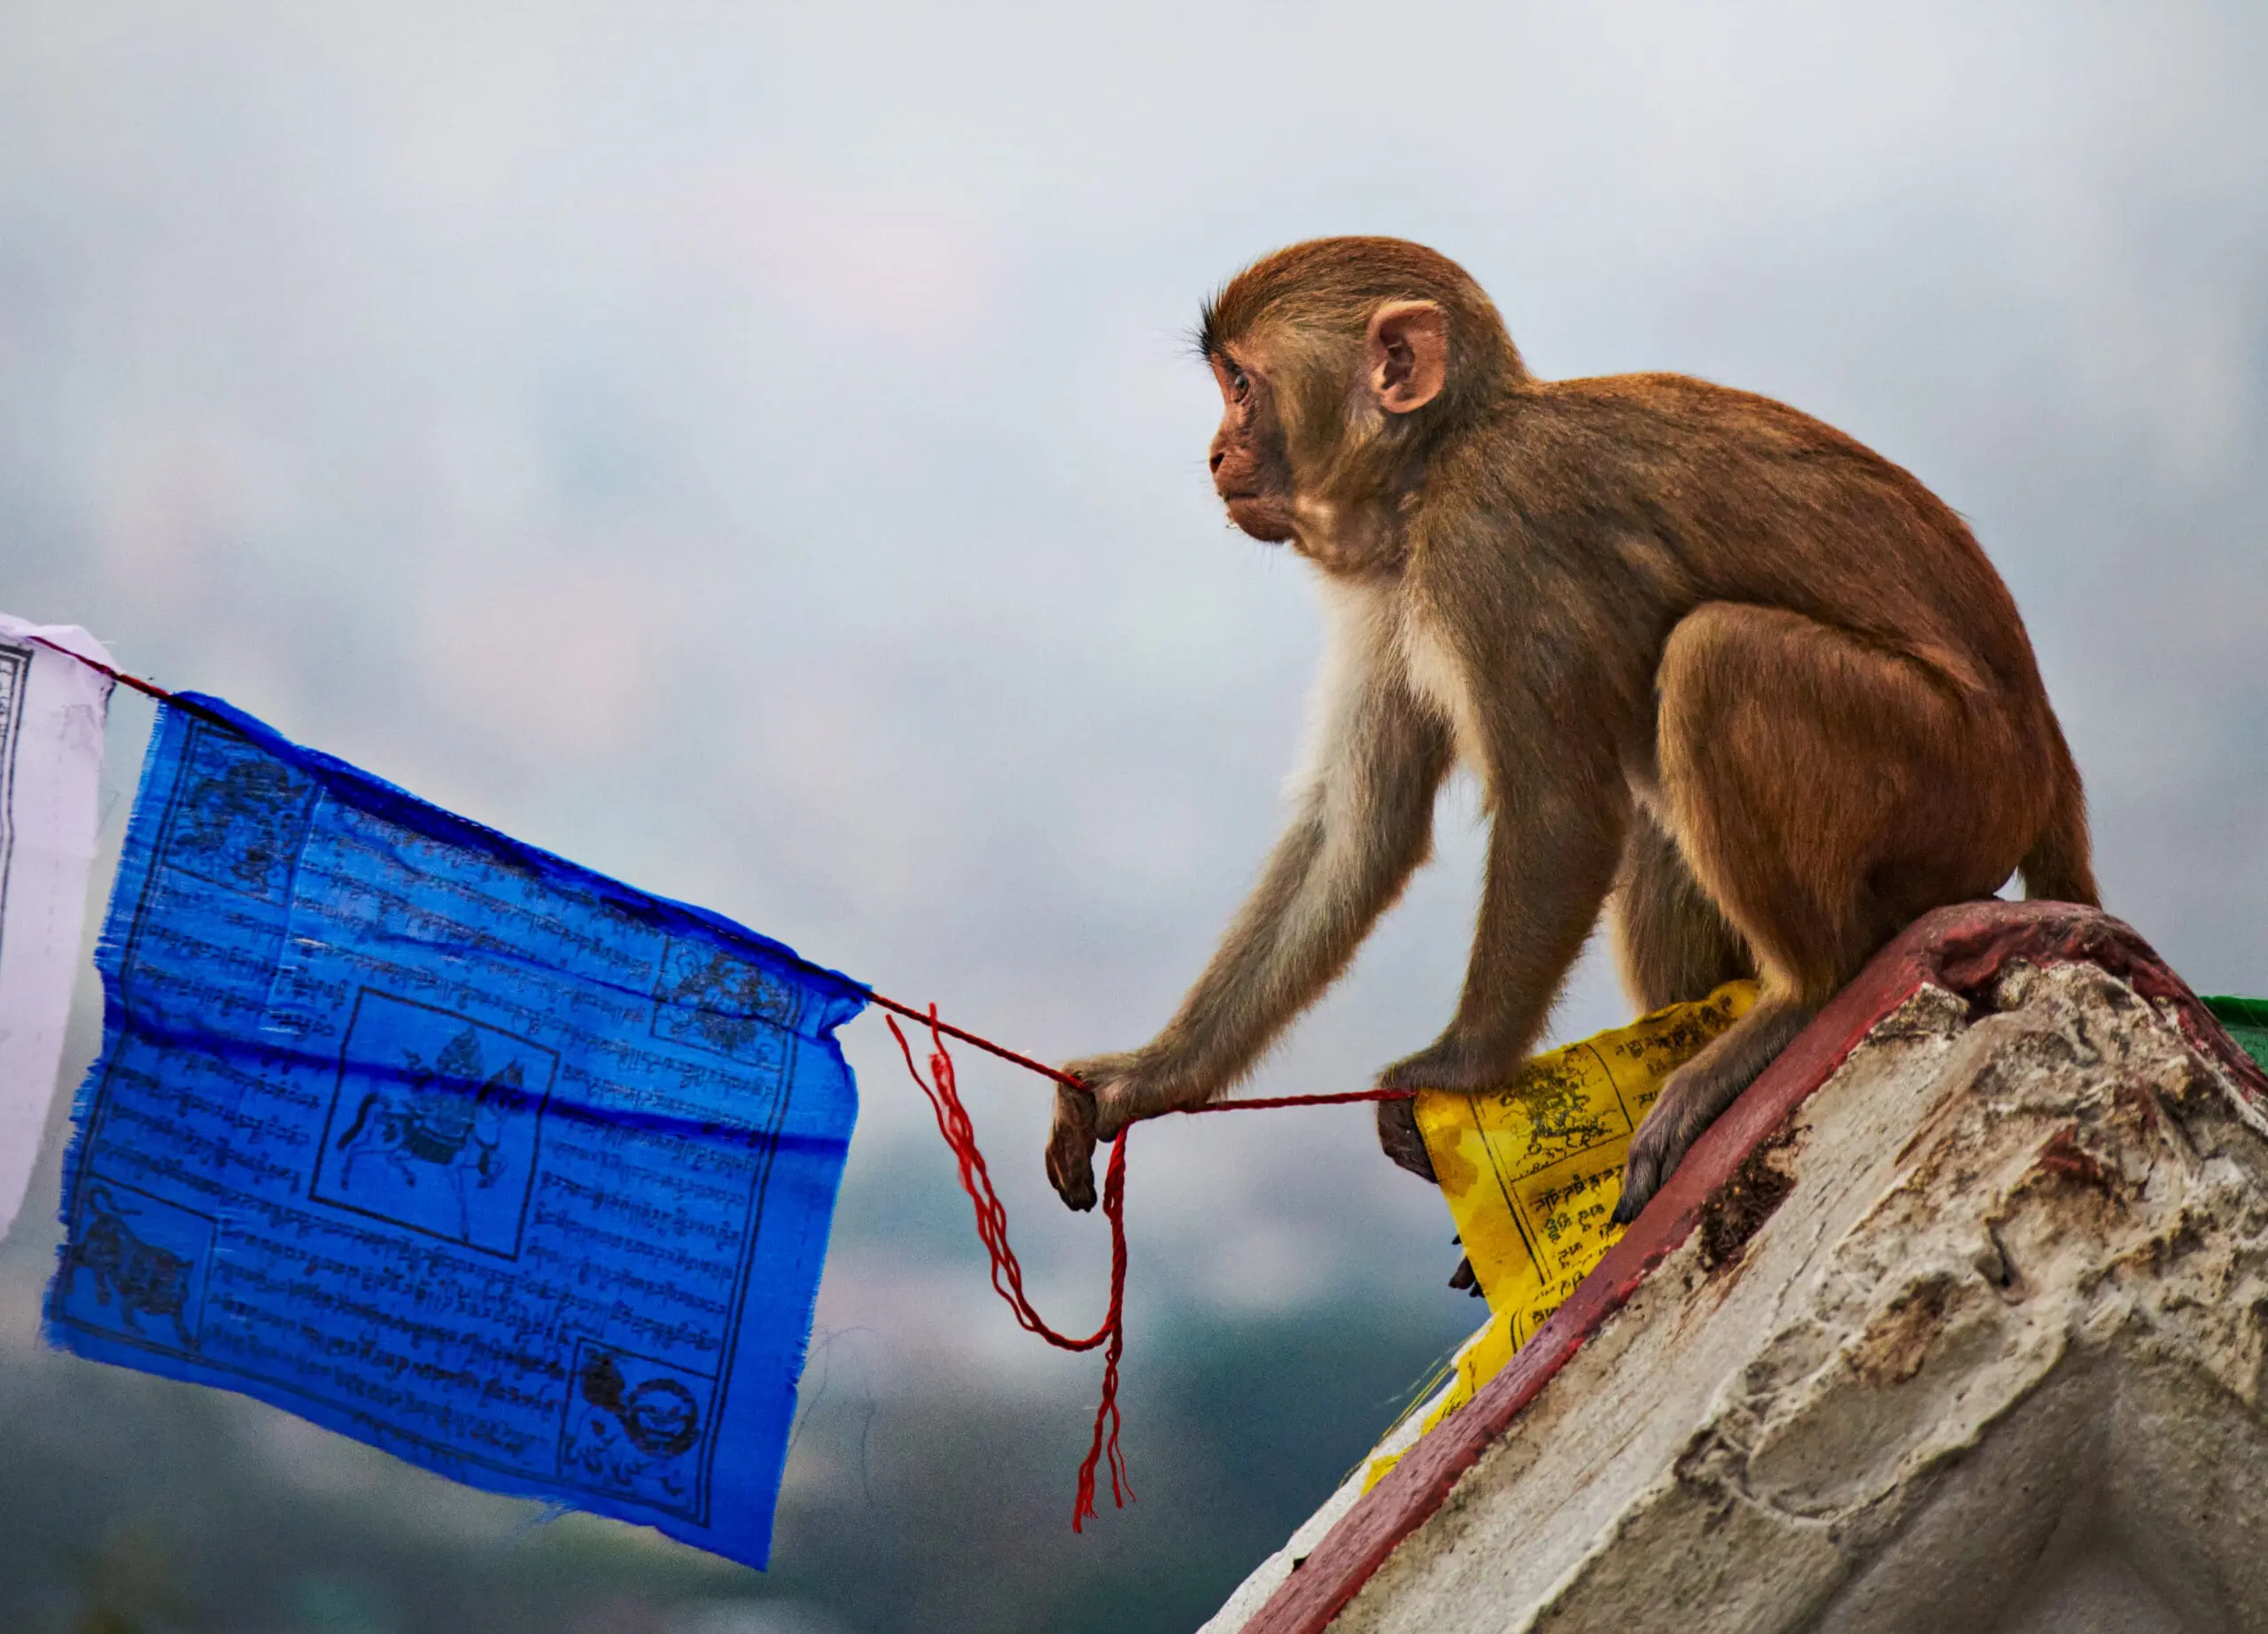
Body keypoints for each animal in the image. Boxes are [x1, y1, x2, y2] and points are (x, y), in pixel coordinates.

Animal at [1044, 236, 2096, 1236]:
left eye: (1241, 386)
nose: (1215, 453)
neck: (1437, 463)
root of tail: (2047, 758)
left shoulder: (1487, 540)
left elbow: (1558, 808)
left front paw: (1458, 1071)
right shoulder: (1394, 585)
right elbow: (1358, 827)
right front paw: (1146, 1076)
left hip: (1953, 779)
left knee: (1716, 658)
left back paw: (1799, 999)